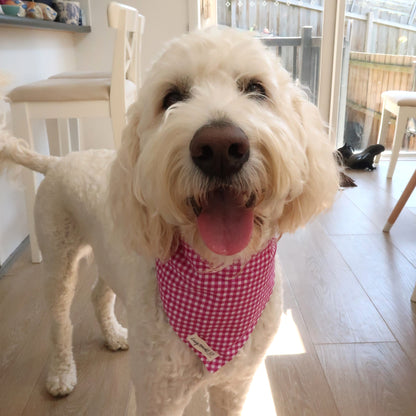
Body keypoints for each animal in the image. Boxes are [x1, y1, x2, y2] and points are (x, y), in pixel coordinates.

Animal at [0, 27, 338, 414]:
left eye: (256, 88)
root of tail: (55, 162)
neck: (219, 278)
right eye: (172, 97)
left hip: (107, 256)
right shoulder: (159, 392)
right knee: (59, 321)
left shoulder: (235, 384)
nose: (219, 148)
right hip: (58, 258)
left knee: (99, 295)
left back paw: (114, 335)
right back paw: (60, 373)